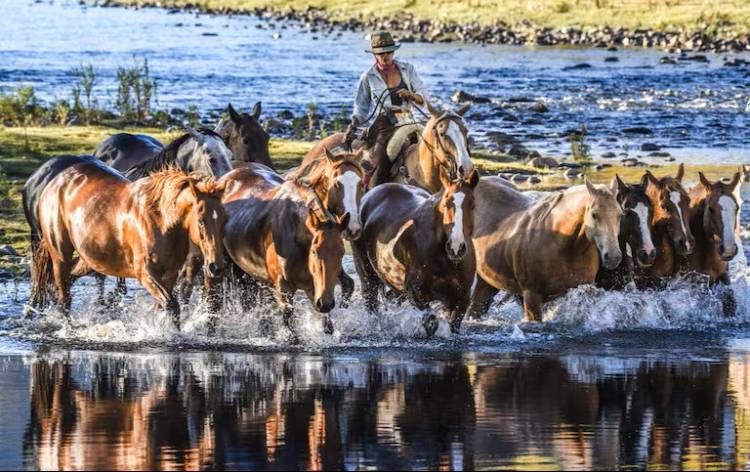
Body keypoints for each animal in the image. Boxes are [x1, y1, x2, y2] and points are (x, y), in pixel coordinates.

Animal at [31, 160, 226, 327]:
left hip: (90, 261)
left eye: (224, 219)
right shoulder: (145, 273)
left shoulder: (169, 275)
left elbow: (163, 307)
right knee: (64, 297)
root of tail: (53, 183)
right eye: (201, 221)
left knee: (65, 282)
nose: (216, 267)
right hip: (60, 257)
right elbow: (172, 305)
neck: (160, 220)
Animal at [215, 163, 348, 337]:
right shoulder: (284, 289)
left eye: (341, 253)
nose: (325, 303)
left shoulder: (313, 288)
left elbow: (327, 325)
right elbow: (290, 326)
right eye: (314, 251)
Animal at [351, 170, 480, 336]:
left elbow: (453, 326)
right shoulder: (416, 292)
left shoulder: (461, 300)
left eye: (472, 205)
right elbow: (431, 322)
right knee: (371, 301)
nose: (456, 247)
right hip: (368, 276)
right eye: (445, 204)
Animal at [680, 171, 742, 315]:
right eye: (711, 209)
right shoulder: (695, 282)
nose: (728, 250)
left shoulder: (723, 276)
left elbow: (730, 303)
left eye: (736, 208)